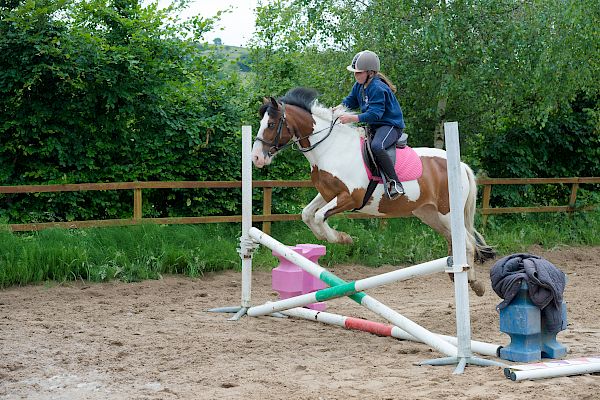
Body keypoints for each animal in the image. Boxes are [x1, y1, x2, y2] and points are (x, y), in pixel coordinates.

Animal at [251, 87, 494, 296]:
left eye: (271, 124)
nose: (256, 158)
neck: (330, 148)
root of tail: (461, 165)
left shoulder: (350, 197)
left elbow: (319, 216)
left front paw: (343, 238)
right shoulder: (328, 195)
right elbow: (308, 214)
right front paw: (329, 237)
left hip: (448, 213)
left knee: (468, 244)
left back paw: (474, 283)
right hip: (429, 214)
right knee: (454, 239)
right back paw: (456, 274)